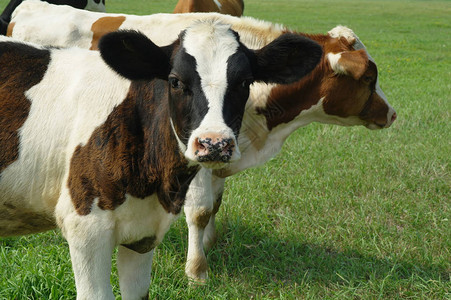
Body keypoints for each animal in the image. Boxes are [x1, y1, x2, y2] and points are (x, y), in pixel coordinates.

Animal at [5, 0, 398, 284]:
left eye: (244, 81)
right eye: (370, 76)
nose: (392, 113)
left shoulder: (223, 152)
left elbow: (216, 205)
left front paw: (209, 244)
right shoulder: (196, 153)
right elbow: (201, 210)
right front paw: (197, 269)